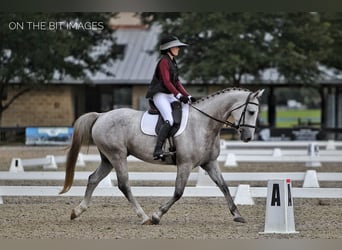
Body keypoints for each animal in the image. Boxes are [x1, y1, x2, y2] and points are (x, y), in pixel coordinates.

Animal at [60, 87, 264, 225]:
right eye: (251, 111)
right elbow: (178, 192)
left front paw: (237, 215)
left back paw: (77, 211)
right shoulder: (185, 164)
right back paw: (144, 217)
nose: (247, 137)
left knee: (93, 179)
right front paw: (157, 215)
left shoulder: (209, 163)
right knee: (124, 185)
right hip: (117, 156)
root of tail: (101, 116)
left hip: (107, 159)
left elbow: (224, 187)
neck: (203, 123)